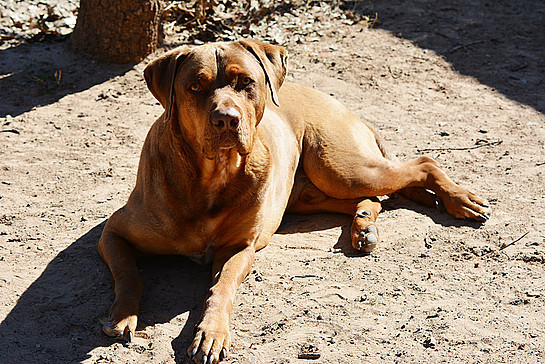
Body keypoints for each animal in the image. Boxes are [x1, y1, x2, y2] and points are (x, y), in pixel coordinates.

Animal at [94, 38, 488, 362]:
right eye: (195, 87)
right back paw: (363, 227)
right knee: (375, 197)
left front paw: (211, 333)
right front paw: (123, 315)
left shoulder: (238, 249)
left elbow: (221, 289)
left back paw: (461, 200)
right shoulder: (113, 233)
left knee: (422, 163)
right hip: (311, 193)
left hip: (342, 167)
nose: (226, 120)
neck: (210, 177)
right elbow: (129, 274)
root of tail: (337, 103)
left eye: (245, 83)